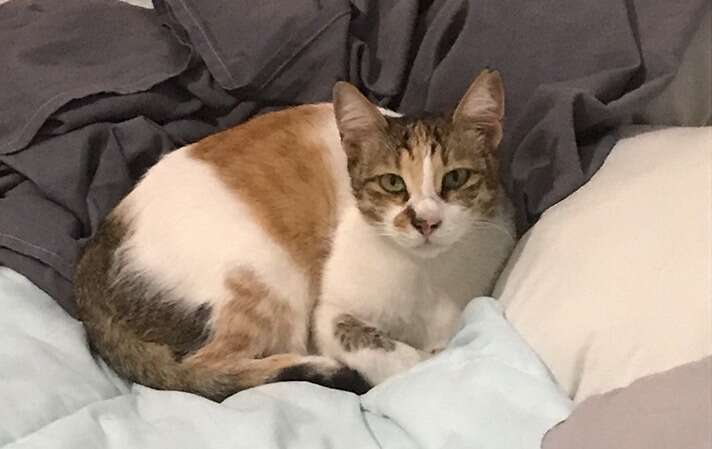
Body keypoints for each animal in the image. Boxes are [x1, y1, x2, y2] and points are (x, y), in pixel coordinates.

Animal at [75, 68, 516, 400]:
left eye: (455, 178)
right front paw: (416, 366)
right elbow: (380, 348)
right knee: (207, 368)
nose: (425, 221)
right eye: (393, 184)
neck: (424, 275)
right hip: (264, 279)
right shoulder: (328, 314)